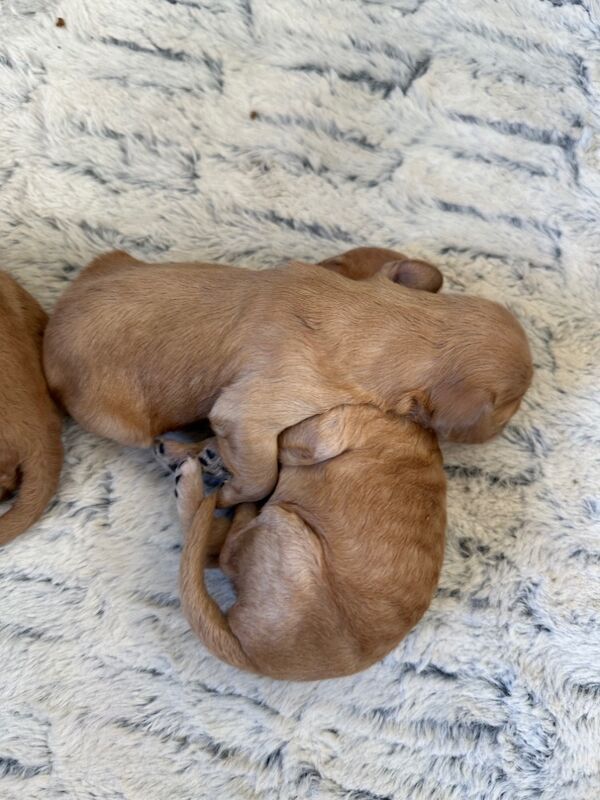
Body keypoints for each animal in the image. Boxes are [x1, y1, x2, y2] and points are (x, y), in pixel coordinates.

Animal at [44, 248, 532, 506]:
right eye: (511, 407)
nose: (506, 429)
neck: (381, 320)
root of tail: (48, 337)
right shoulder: (249, 413)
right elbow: (261, 475)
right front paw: (230, 494)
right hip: (120, 423)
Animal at [157, 406, 448, 680]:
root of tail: (252, 656)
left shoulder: (323, 432)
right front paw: (196, 452)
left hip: (287, 524)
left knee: (221, 549)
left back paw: (197, 484)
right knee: (213, 546)